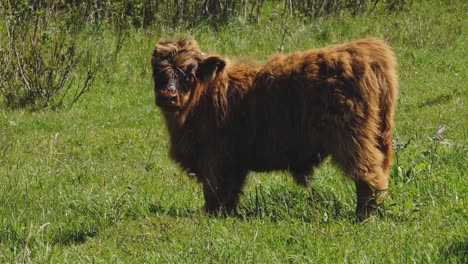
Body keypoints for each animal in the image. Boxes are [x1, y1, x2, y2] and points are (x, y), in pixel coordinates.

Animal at [152, 36, 396, 220]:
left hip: (352, 139)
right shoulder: (234, 161)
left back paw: (362, 217)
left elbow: (213, 191)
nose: (168, 96)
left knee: (369, 176)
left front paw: (209, 216)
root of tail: (362, 49)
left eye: (188, 73)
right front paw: (230, 215)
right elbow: (231, 191)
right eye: (158, 72)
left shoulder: (214, 157)